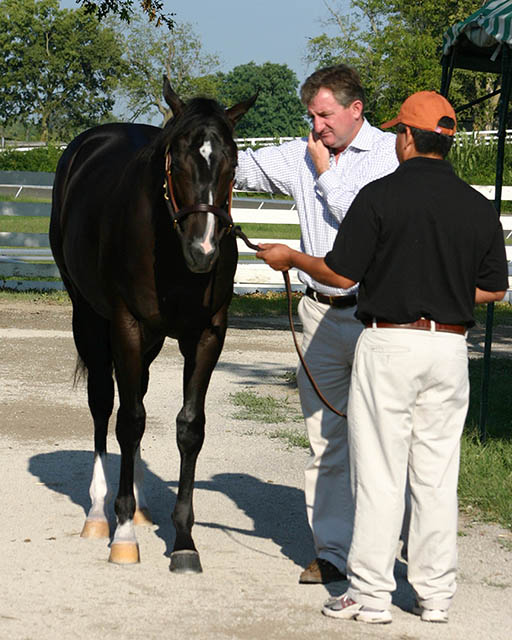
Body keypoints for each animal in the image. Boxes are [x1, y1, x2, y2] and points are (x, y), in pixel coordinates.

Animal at [50, 80, 254, 576]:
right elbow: (129, 419)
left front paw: (184, 541)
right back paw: (99, 514)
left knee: (135, 393)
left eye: (233, 162)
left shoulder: (206, 335)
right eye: (175, 160)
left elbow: (189, 426)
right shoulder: (126, 323)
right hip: (89, 315)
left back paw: (140, 506)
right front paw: (123, 534)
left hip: (151, 340)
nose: (203, 250)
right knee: (105, 404)